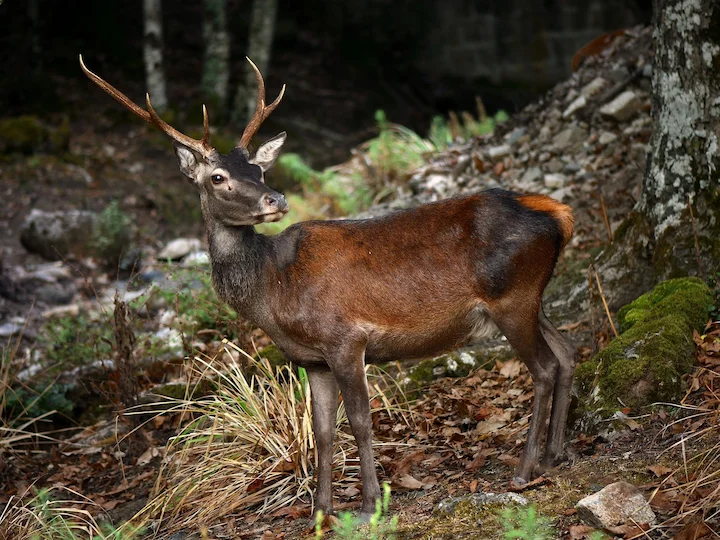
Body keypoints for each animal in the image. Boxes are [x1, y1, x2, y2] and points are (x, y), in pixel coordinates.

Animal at [80, 55, 578, 521]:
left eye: (259, 171)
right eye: (218, 177)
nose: (275, 199)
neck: (273, 290)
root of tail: (560, 215)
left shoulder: (346, 337)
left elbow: (360, 420)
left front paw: (370, 503)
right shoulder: (310, 359)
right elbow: (320, 430)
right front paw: (320, 510)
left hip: (511, 297)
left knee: (544, 368)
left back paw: (525, 468)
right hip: (530, 298)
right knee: (567, 351)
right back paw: (554, 455)